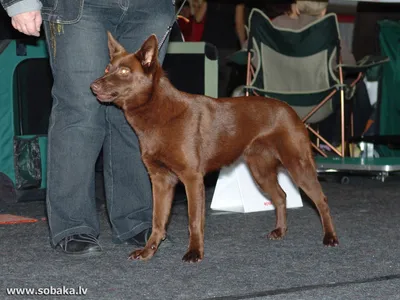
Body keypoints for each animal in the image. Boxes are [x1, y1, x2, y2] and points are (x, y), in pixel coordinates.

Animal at [90, 33, 338, 262]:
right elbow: (157, 220)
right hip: (260, 170)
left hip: (297, 164)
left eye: (124, 72)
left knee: (321, 200)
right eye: (107, 68)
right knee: (281, 196)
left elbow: (194, 220)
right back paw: (280, 231)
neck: (160, 114)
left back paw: (330, 237)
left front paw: (194, 252)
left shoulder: (192, 178)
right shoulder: (161, 179)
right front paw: (148, 251)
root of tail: (290, 110)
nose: (93, 86)